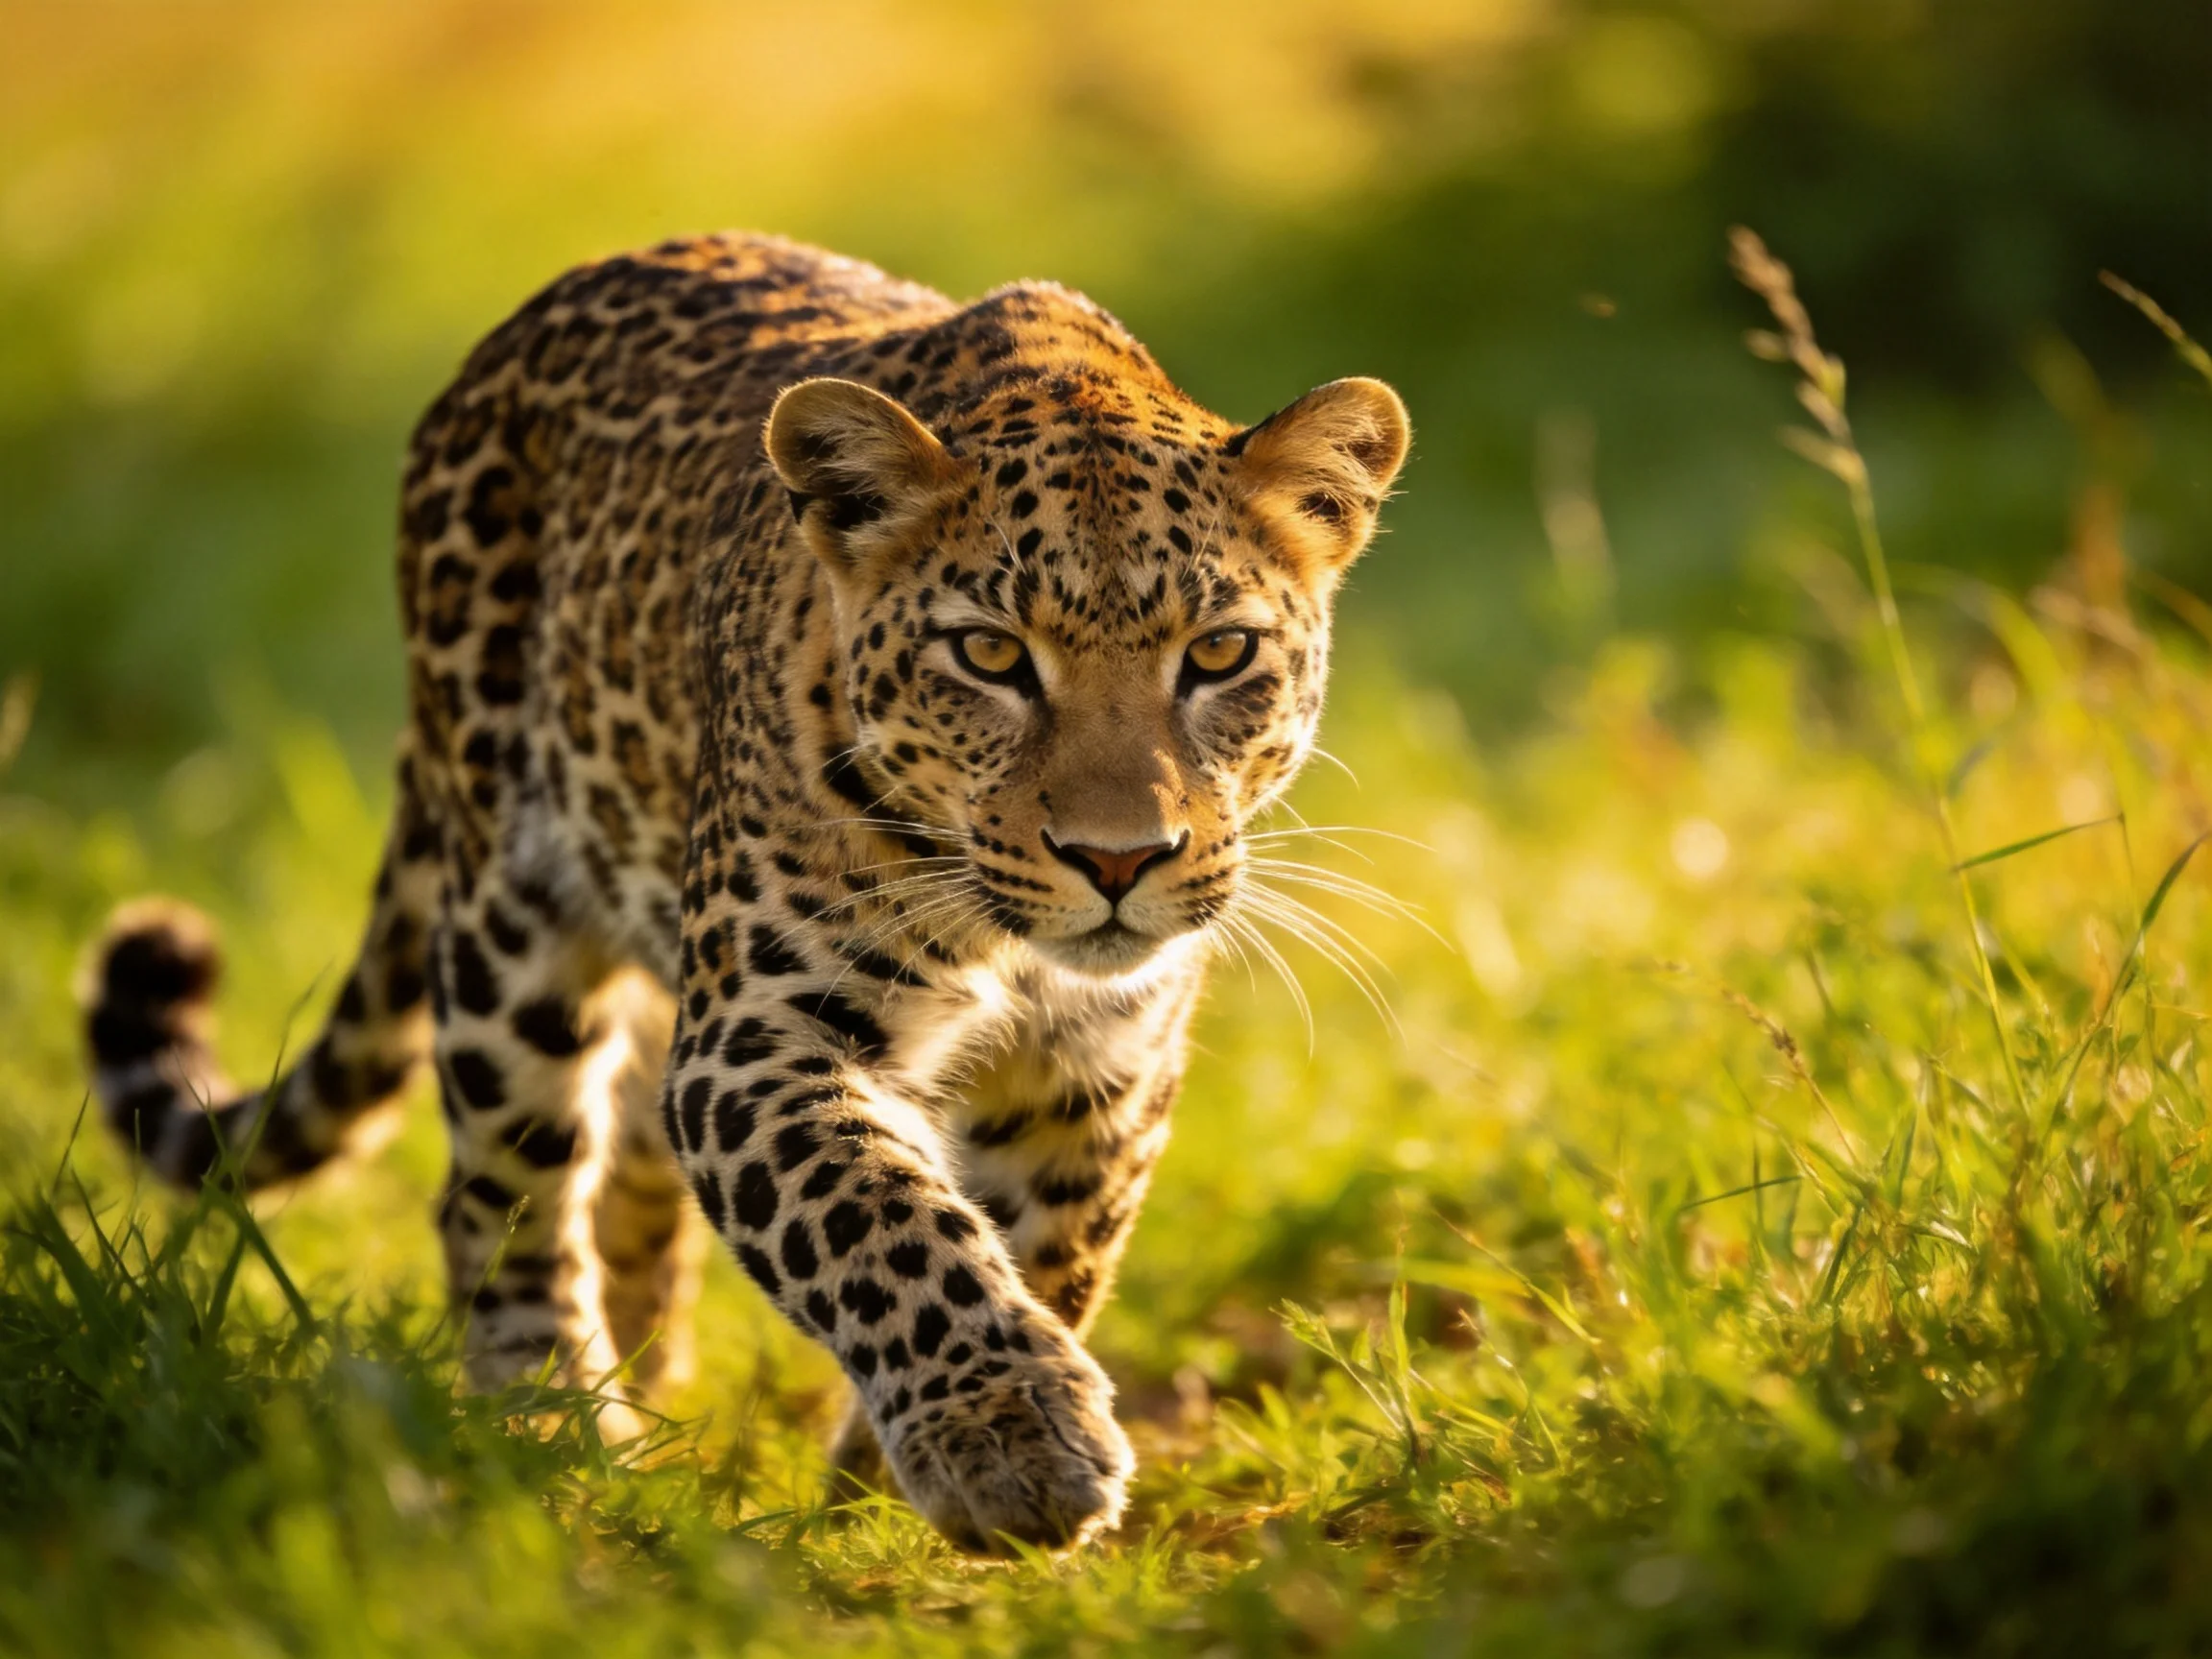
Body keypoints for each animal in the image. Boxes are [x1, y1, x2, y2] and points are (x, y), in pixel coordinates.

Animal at [81, 231, 1409, 1553]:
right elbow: (881, 1223)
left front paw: (879, 1490)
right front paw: (1007, 1440)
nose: (1120, 860)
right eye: (989, 654)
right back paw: (554, 1426)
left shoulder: (1098, 1074)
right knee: (500, 1192)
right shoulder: (762, 1035)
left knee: (627, 1164)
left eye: (1220, 653)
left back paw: (648, 1385)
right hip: (509, 924)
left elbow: (1043, 1252)